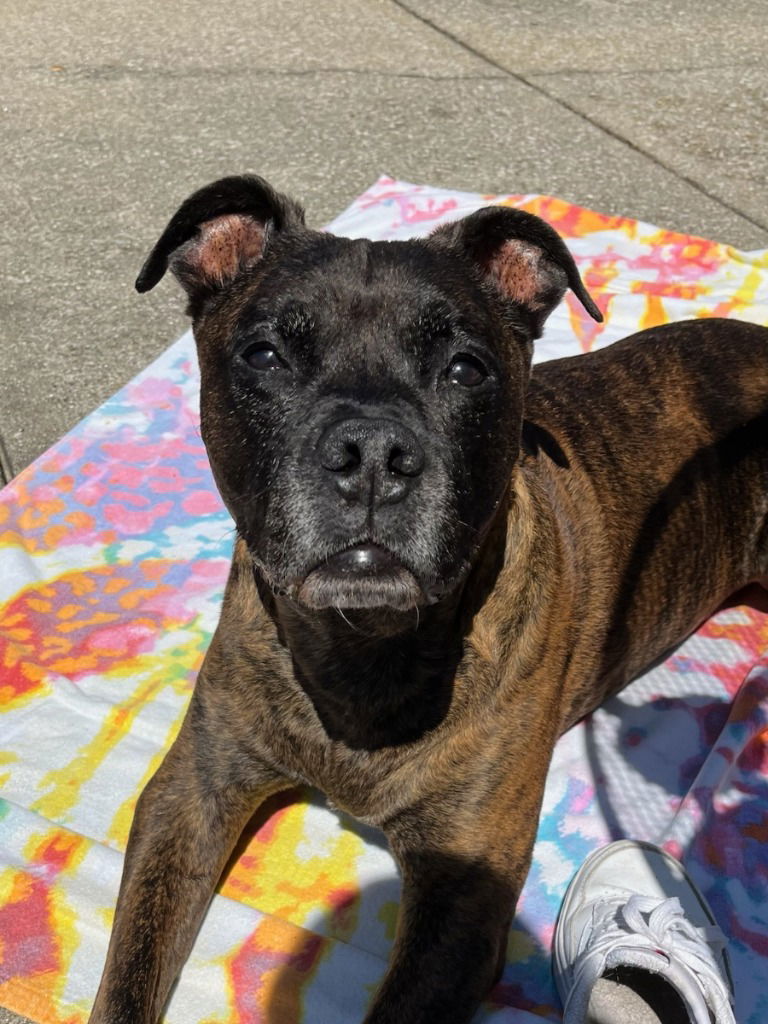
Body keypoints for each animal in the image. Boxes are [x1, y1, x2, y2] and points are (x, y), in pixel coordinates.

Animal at [85, 178, 768, 1024]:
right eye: (264, 355)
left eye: (466, 369)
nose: (372, 451)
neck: (360, 646)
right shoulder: (191, 793)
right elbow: (129, 975)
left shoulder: (462, 890)